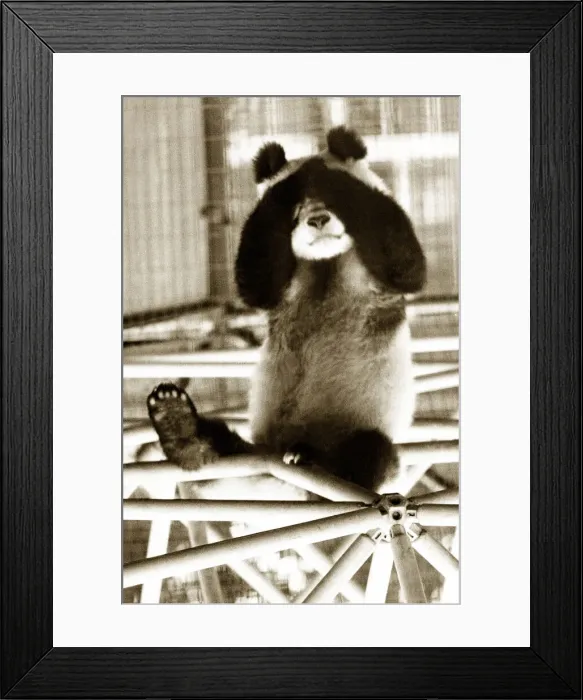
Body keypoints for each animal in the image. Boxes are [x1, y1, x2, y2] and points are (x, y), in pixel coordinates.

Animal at [147, 126, 426, 494]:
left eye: (332, 206)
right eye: (297, 212)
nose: (318, 220)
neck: (326, 262)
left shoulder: (375, 277)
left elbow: (404, 263)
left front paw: (329, 174)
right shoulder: (283, 284)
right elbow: (256, 278)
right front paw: (290, 180)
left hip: (365, 435)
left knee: (369, 453)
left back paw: (314, 459)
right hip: (251, 454)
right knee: (219, 444)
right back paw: (181, 427)